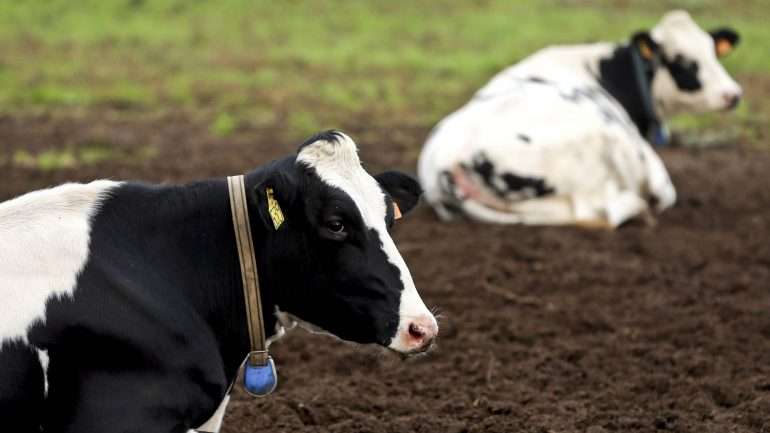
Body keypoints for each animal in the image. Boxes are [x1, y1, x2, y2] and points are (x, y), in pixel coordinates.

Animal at [416, 10, 740, 228]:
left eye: (714, 53)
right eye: (685, 63)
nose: (734, 94)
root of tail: (444, 162)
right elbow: (664, 191)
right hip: (603, 144)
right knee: (602, 209)